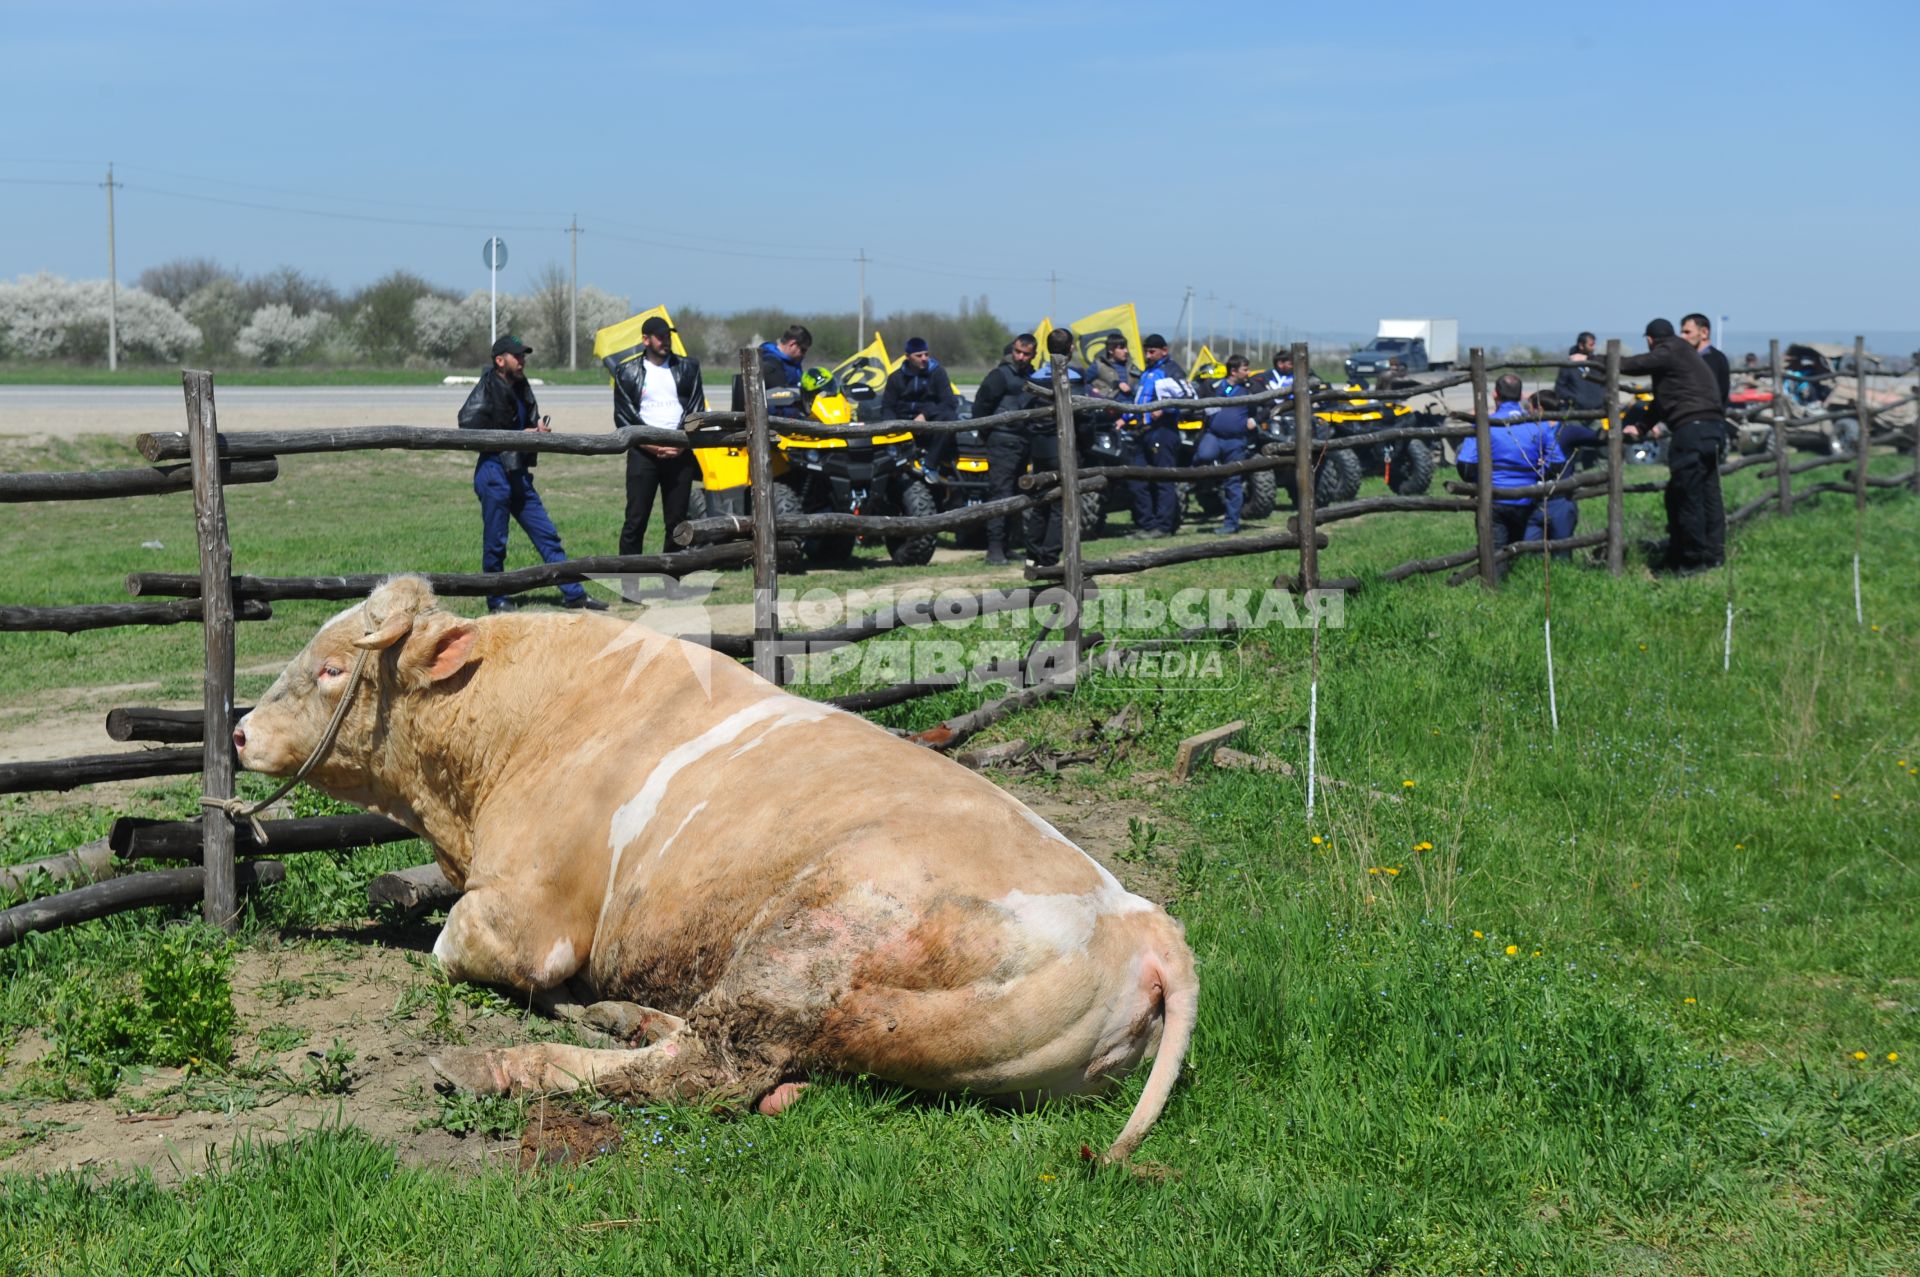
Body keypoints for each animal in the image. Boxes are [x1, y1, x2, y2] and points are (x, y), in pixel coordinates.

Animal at [236, 576, 1198, 1167]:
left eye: (330, 667)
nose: (239, 732)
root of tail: (1147, 923)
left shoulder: (522, 918)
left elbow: (456, 950)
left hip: (806, 942)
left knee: (708, 1071)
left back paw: (497, 1063)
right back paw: (623, 1016)